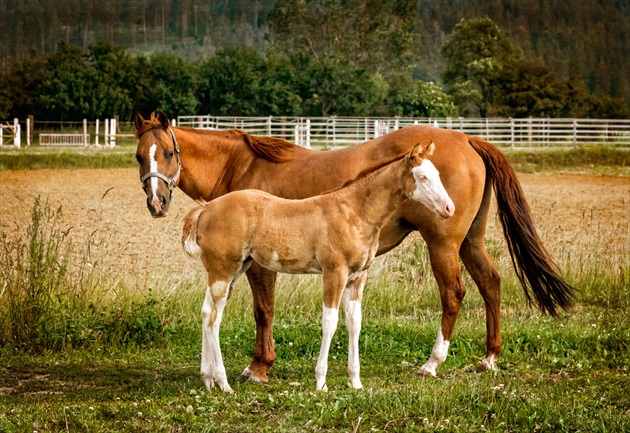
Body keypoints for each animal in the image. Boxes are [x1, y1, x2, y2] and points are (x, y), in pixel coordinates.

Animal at [136, 110, 576, 382]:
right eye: (141, 156)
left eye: (170, 153)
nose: (156, 203)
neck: (242, 167)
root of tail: (468, 139)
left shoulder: (260, 266)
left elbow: (264, 312)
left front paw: (258, 367)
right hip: (470, 241)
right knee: (491, 284)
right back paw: (489, 358)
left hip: (443, 246)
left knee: (454, 294)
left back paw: (432, 363)